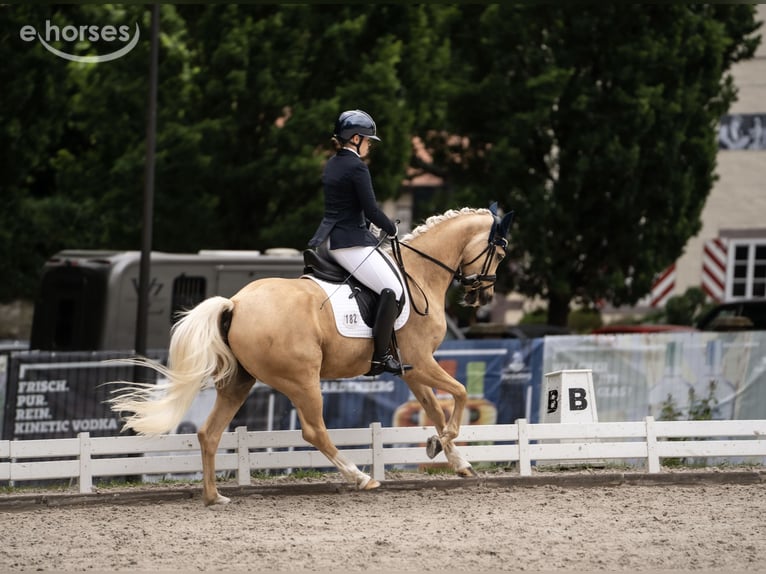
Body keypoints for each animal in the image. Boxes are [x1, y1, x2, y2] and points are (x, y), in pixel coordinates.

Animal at [108, 205, 513, 506]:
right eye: (501, 252)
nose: (482, 296)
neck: (419, 274)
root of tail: (235, 303)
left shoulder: (412, 369)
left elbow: (436, 409)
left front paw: (454, 458)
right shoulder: (422, 362)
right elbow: (459, 393)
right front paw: (441, 444)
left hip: (239, 382)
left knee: (210, 433)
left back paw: (213, 497)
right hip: (302, 380)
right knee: (314, 430)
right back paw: (360, 477)